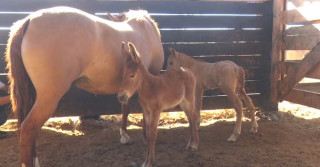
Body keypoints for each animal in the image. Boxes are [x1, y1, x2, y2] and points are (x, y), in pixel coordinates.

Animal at [5, 6, 164, 167]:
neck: (144, 27)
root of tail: (29, 20)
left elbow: (126, 106)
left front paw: (125, 135)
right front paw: (144, 135)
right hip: (48, 98)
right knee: (28, 129)